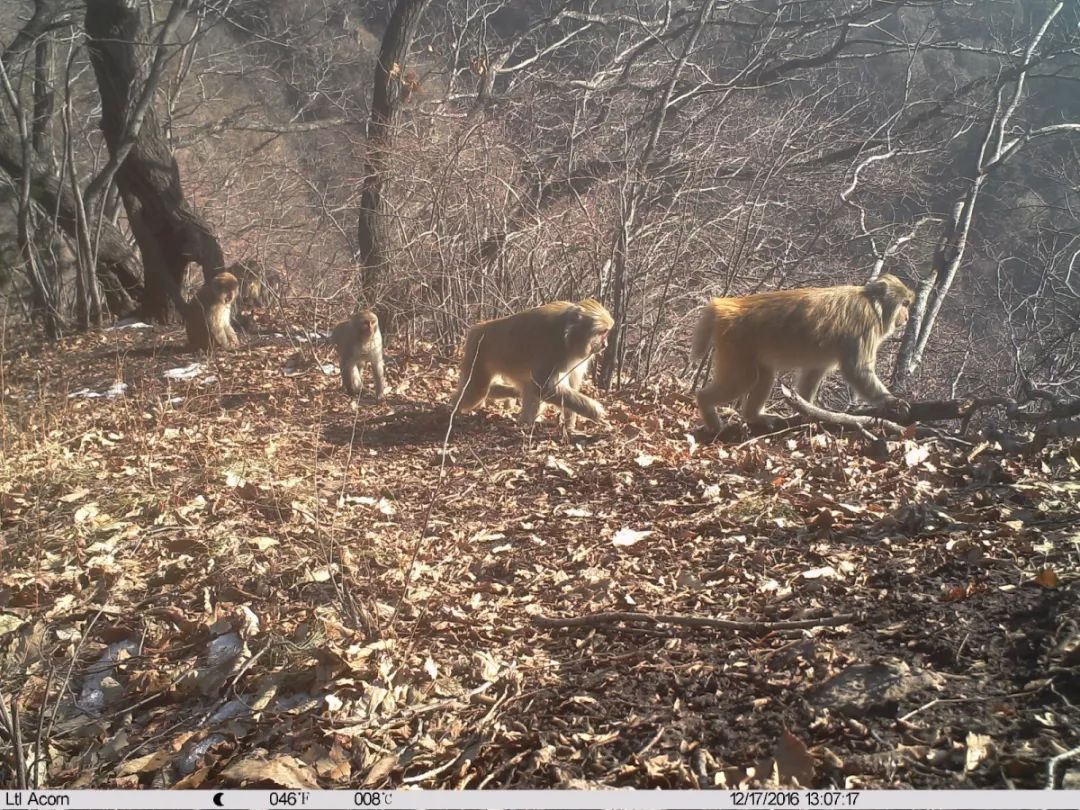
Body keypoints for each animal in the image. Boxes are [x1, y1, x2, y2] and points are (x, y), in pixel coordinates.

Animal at [449, 300, 613, 438]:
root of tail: (477, 328)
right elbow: (543, 388)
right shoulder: (553, 348)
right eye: (602, 332)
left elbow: (563, 385)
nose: (605, 345)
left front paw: (570, 425)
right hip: (477, 353)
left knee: (519, 387)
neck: (569, 337)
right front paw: (595, 411)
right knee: (477, 391)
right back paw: (453, 410)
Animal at [691, 276, 911, 434]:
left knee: (764, 375)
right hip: (737, 344)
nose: (907, 317)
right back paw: (707, 407)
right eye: (905, 304)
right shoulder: (865, 326)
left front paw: (807, 410)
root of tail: (726, 307)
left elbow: (813, 372)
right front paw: (891, 402)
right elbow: (857, 370)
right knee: (744, 378)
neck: (873, 305)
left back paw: (753, 416)